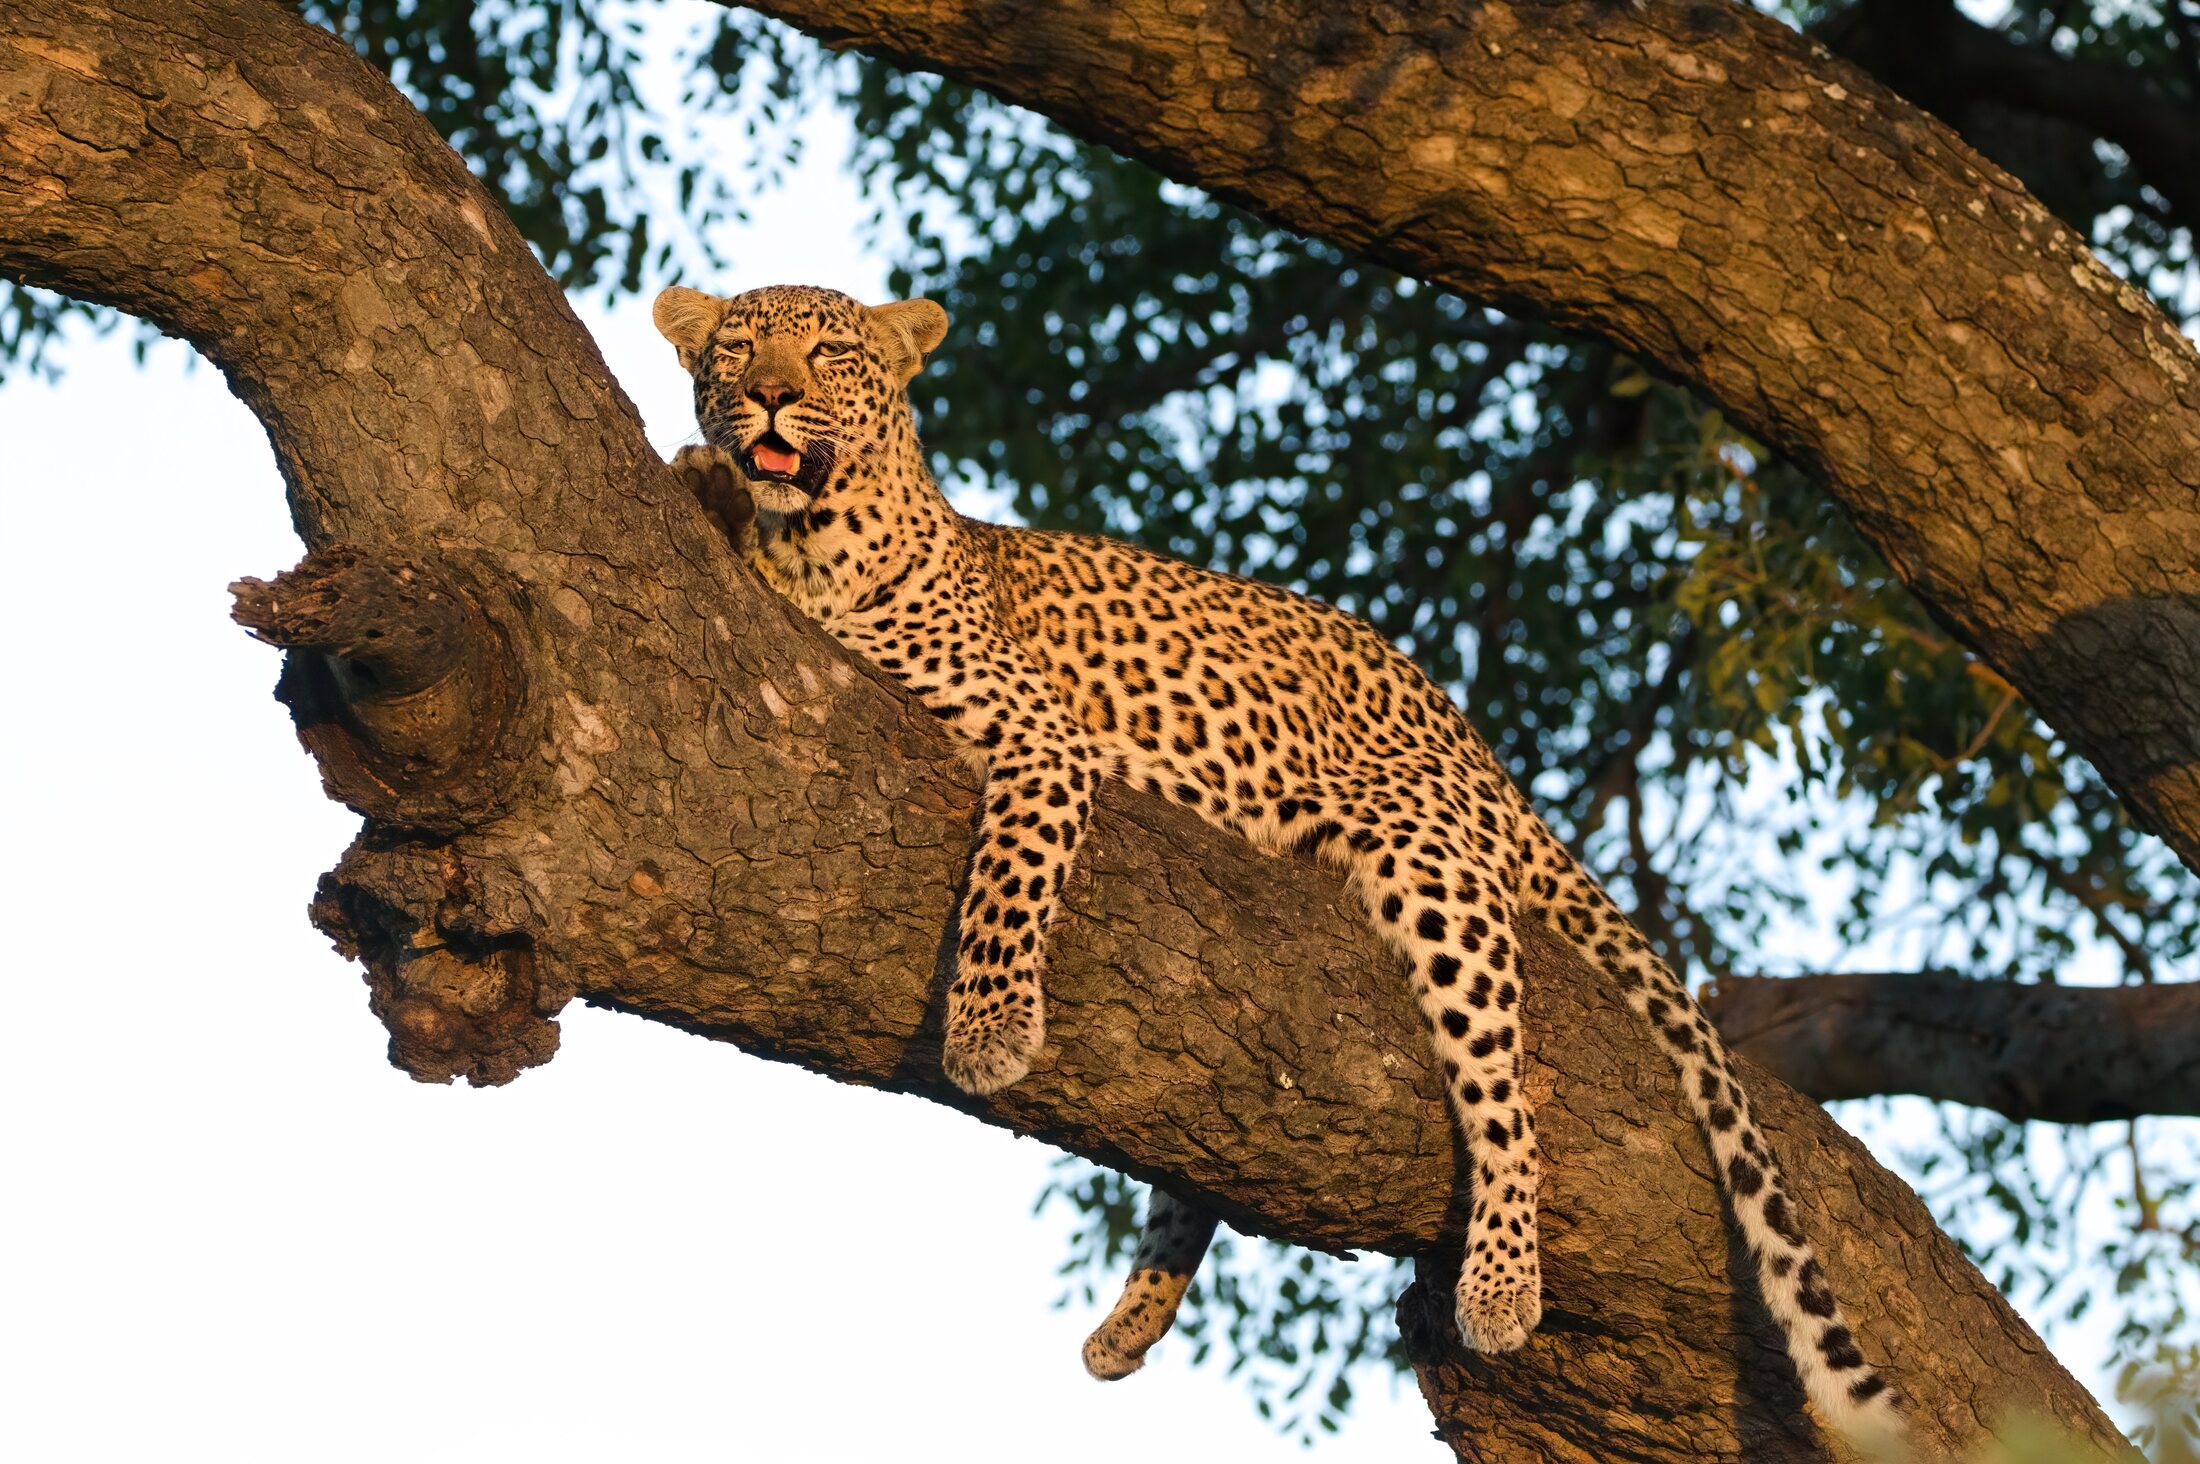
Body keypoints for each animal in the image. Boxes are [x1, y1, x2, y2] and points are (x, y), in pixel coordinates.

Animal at [653, 281, 1902, 1444]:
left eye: (829, 351)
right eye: (735, 348)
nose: (768, 394)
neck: (817, 540)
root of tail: (1478, 746)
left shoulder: (1040, 737)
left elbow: (1010, 878)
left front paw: (990, 1028)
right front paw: (700, 475)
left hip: (1430, 865)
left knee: (1502, 1085)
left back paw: (1502, 1282)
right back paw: (1133, 1319)